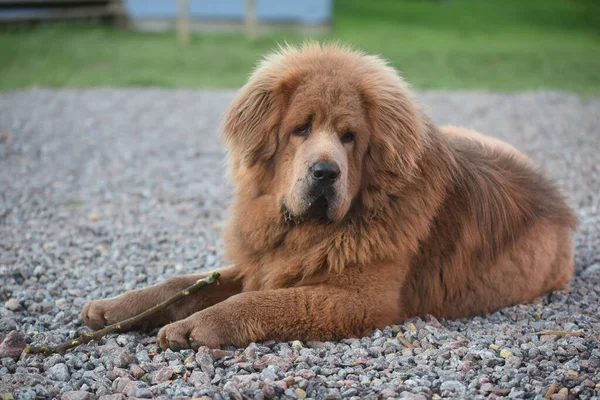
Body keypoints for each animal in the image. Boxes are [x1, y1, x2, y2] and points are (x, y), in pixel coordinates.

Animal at [82, 44, 580, 350]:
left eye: (349, 137)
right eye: (301, 129)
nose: (325, 172)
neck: (304, 233)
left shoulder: (359, 300)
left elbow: (257, 303)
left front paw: (194, 326)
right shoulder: (261, 265)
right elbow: (179, 283)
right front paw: (114, 308)